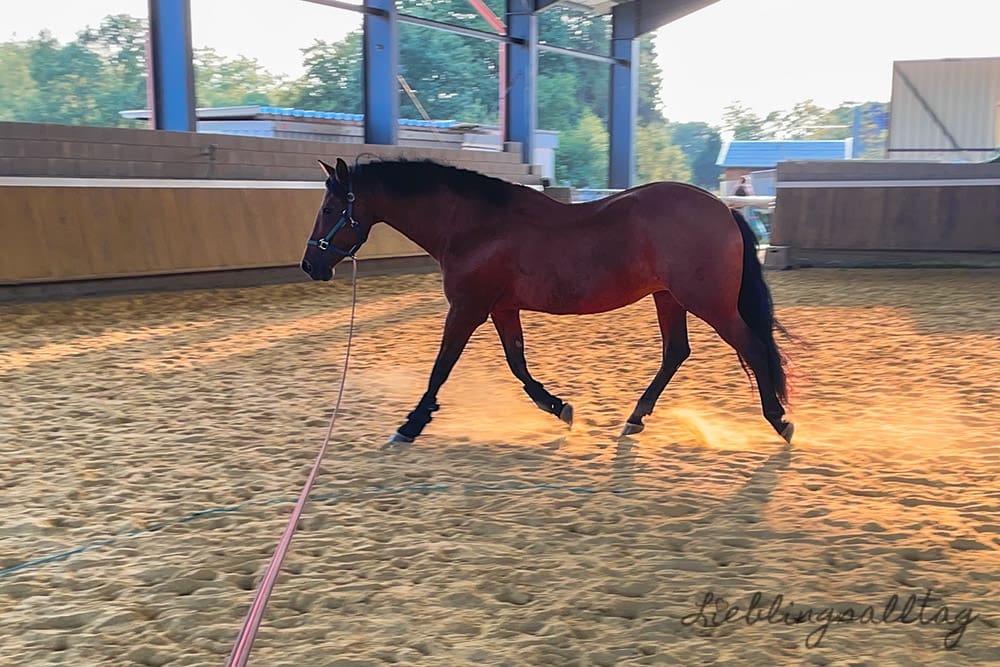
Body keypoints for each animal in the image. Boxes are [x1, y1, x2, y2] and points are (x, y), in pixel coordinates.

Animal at [300, 159, 792, 446]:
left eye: (329, 208)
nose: (310, 265)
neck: (475, 224)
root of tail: (722, 207)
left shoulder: (467, 309)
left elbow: (441, 367)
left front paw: (411, 424)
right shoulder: (500, 309)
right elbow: (517, 364)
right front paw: (559, 407)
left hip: (708, 302)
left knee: (752, 347)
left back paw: (779, 420)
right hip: (668, 298)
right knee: (677, 352)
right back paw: (634, 418)